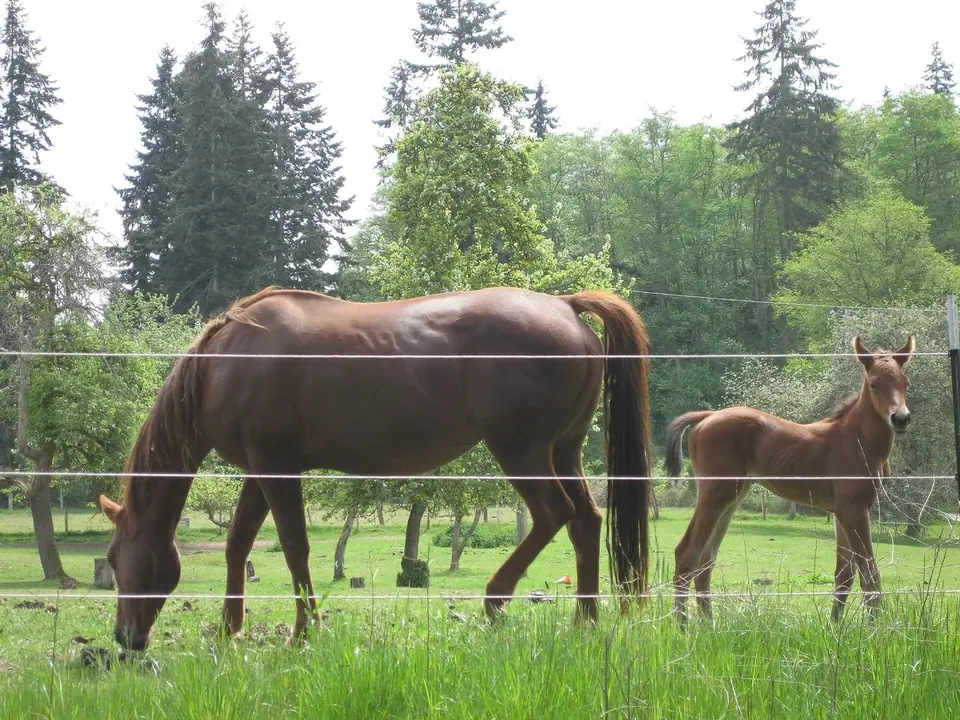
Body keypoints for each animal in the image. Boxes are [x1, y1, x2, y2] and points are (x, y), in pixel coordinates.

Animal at [97, 285, 654, 650]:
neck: (225, 362)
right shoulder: (261, 470)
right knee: (585, 521)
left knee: (553, 513)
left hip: (522, 451)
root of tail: (565, 306)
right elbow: (239, 543)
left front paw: (304, 632)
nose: (125, 637)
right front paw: (230, 628)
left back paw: (497, 600)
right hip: (563, 450)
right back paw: (585, 620)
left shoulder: (278, 469)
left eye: (116, 558)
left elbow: (295, 548)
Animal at [664, 335, 915, 623]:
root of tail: (707, 416)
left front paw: (835, 627)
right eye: (874, 384)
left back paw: (709, 626)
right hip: (716, 493)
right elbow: (869, 572)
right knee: (687, 553)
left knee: (706, 559)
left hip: (732, 496)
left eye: (905, 383)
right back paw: (683, 626)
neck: (857, 440)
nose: (901, 419)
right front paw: (878, 628)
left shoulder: (842, 510)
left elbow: (844, 573)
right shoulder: (854, 508)